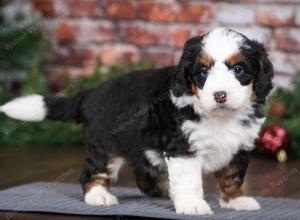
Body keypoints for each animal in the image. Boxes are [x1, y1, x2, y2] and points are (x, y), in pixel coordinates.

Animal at [0, 27, 274, 215]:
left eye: (238, 69)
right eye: (203, 72)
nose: (220, 95)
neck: (219, 116)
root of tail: (90, 93)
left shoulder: (239, 146)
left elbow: (232, 175)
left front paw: (236, 200)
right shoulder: (181, 147)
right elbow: (189, 180)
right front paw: (192, 204)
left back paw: (162, 189)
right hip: (104, 146)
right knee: (92, 172)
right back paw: (98, 195)